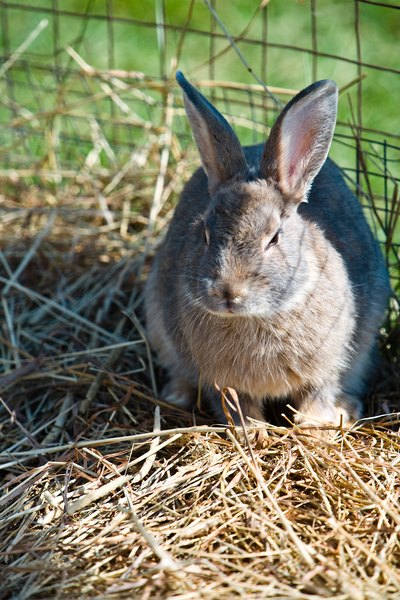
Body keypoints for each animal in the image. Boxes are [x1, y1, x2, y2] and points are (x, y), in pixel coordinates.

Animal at [145, 71, 390, 426]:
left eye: (274, 237)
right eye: (204, 233)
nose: (228, 292)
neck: (258, 316)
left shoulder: (327, 368)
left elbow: (318, 393)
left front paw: (314, 425)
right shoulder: (222, 382)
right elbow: (237, 406)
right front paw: (255, 428)